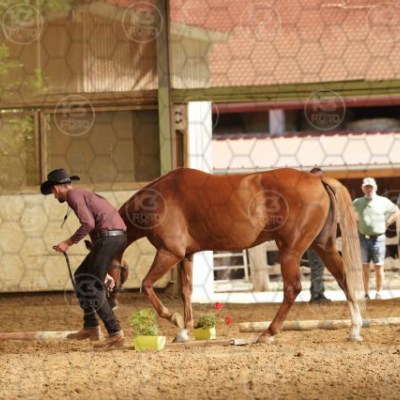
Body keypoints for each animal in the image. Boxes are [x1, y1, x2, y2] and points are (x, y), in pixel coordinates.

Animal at [114, 167, 364, 343]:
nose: (111, 296)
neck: (161, 198)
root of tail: (317, 180)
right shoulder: (186, 256)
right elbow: (186, 292)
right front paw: (184, 330)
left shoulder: (169, 253)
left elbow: (146, 285)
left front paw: (173, 318)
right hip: (324, 246)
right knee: (344, 279)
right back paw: (355, 329)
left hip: (290, 251)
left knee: (292, 289)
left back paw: (268, 333)